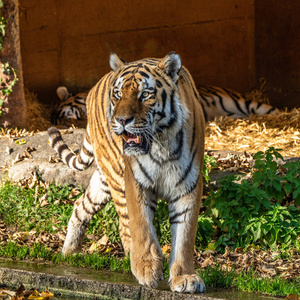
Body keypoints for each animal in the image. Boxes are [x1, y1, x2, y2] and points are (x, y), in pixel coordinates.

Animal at [49, 51, 207, 292]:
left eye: (145, 95)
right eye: (118, 95)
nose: (122, 120)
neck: (161, 143)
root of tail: (93, 88)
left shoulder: (188, 185)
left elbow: (185, 235)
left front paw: (185, 277)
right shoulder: (135, 182)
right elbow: (141, 226)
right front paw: (146, 269)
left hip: (104, 180)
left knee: (80, 205)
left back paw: (69, 253)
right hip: (115, 176)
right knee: (124, 226)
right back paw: (127, 259)